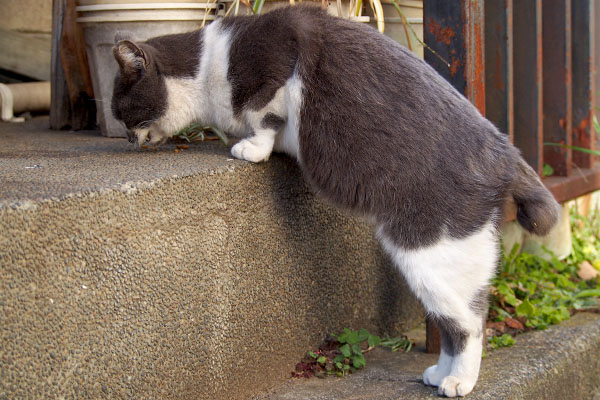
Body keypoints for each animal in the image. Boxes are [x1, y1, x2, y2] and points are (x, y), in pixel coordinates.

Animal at [111, 4, 556, 396]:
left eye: (121, 110)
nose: (127, 139)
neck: (209, 66)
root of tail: (506, 151)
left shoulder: (274, 63)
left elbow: (264, 115)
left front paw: (251, 148)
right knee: (456, 318)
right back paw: (438, 373)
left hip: (431, 252)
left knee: (470, 323)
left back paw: (459, 381)